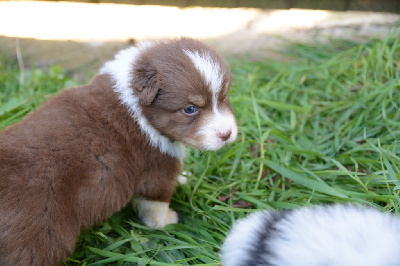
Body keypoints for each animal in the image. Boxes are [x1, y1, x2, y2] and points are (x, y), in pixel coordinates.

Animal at [0, 38, 238, 266]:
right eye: (190, 109)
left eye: (224, 96)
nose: (227, 134)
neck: (139, 107)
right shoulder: (156, 169)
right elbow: (156, 205)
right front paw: (168, 221)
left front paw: (183, 177)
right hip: (40, 237)